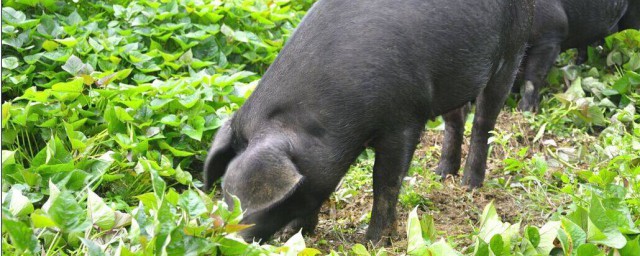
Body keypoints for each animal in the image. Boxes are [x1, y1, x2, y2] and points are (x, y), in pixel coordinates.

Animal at [205, 0, 536, 244]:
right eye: (224, 195)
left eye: (247, 202)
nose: (227, 238)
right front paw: (293, 234)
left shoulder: (403, 119)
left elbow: (385, 182)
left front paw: (373, 242)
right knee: (456, 118)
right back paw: (442, 173)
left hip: (513, 48)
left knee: (484, 120)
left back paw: (470, 184)